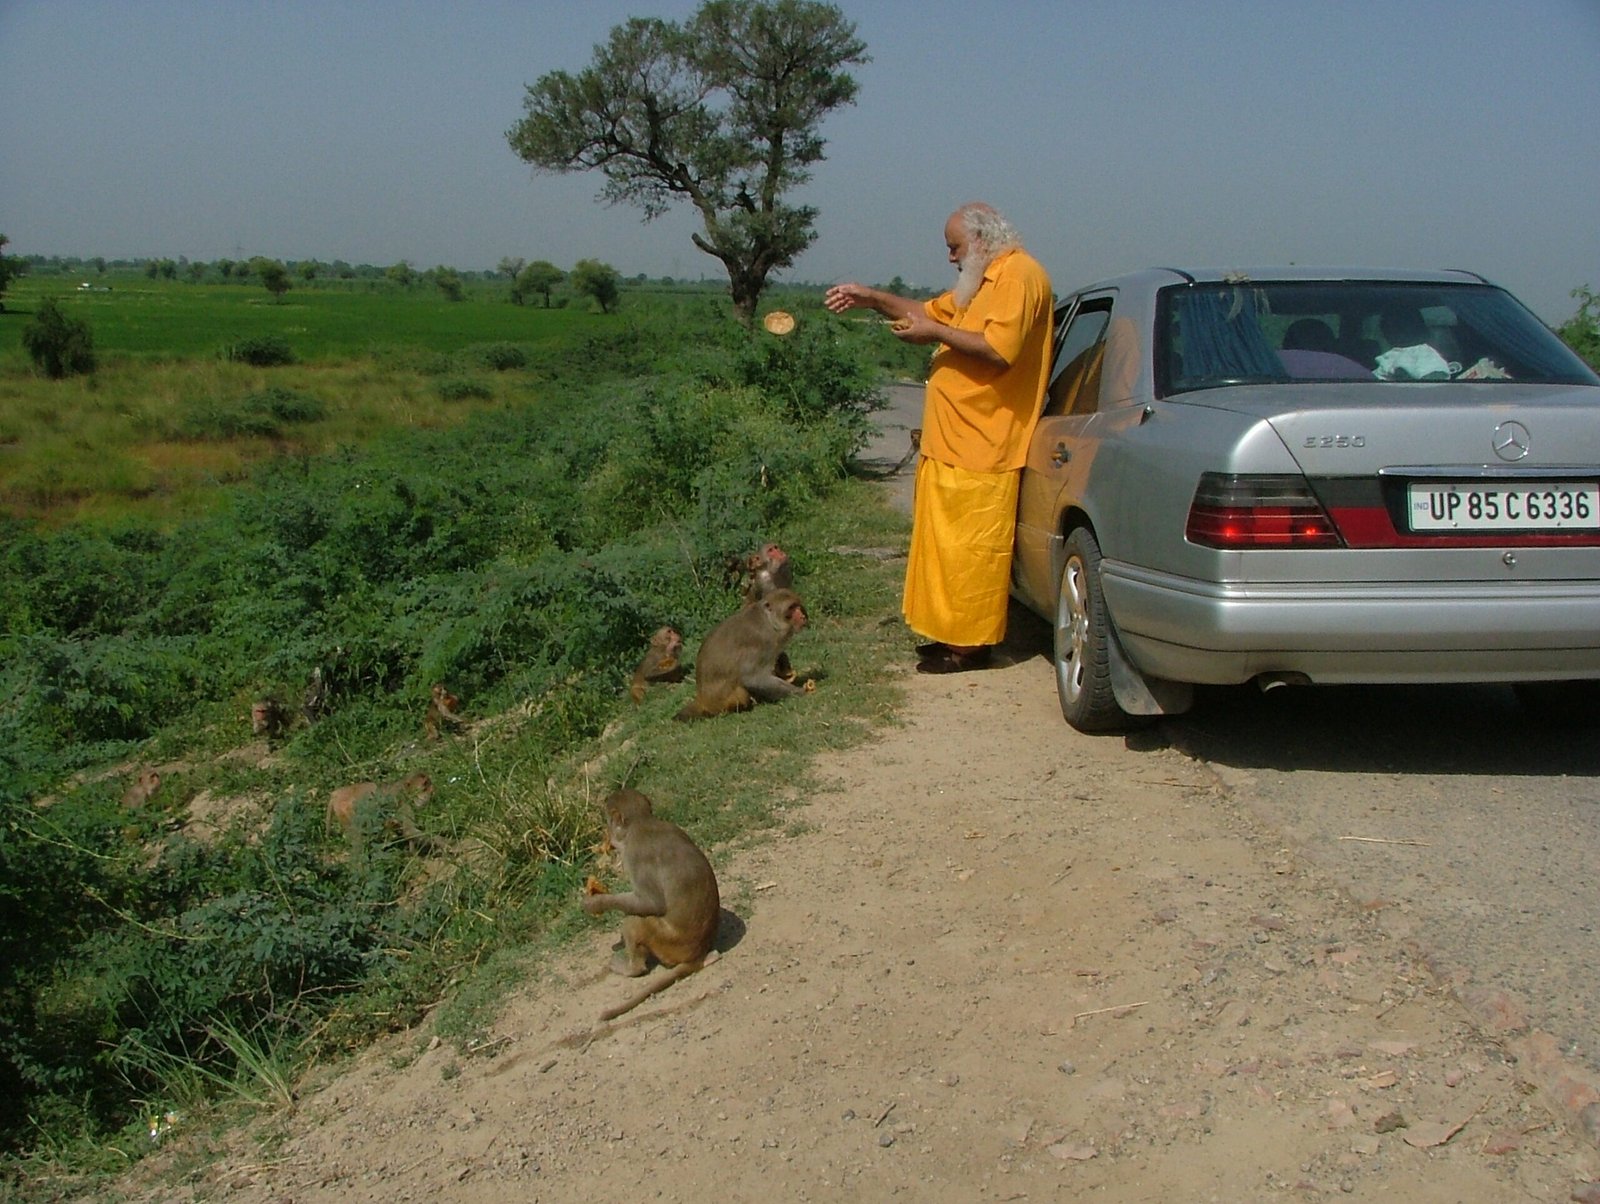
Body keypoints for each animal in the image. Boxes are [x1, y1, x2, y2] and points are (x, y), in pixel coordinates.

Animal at [582, 784, 720, 1018]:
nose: (606, 834)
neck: (641, 823)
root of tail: (697, 954)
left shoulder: (635, 854)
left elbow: (651, 903)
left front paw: (597, 902)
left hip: (666, 941)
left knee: (634, 920)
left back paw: (632, 968)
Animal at [672, 589, 812, 720]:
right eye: (791, 608)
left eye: (798, 606)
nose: (802, 616)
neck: (769, 622)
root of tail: (702, 700)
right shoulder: (761, 643)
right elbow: (753, 678)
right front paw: (800, 691)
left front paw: (783, 661)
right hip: (721, 701)